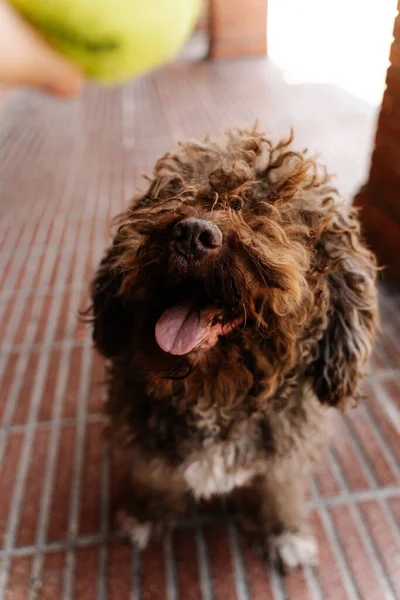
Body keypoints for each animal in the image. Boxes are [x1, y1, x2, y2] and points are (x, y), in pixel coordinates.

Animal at [88, 130, 378, 572]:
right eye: (177, 190)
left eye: (274, 209)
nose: (193, 233)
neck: (216, 394)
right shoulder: (142, 438)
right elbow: (154, 476)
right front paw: (146, 515)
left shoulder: (286, 455)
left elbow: (278, 490)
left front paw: (283, 533)